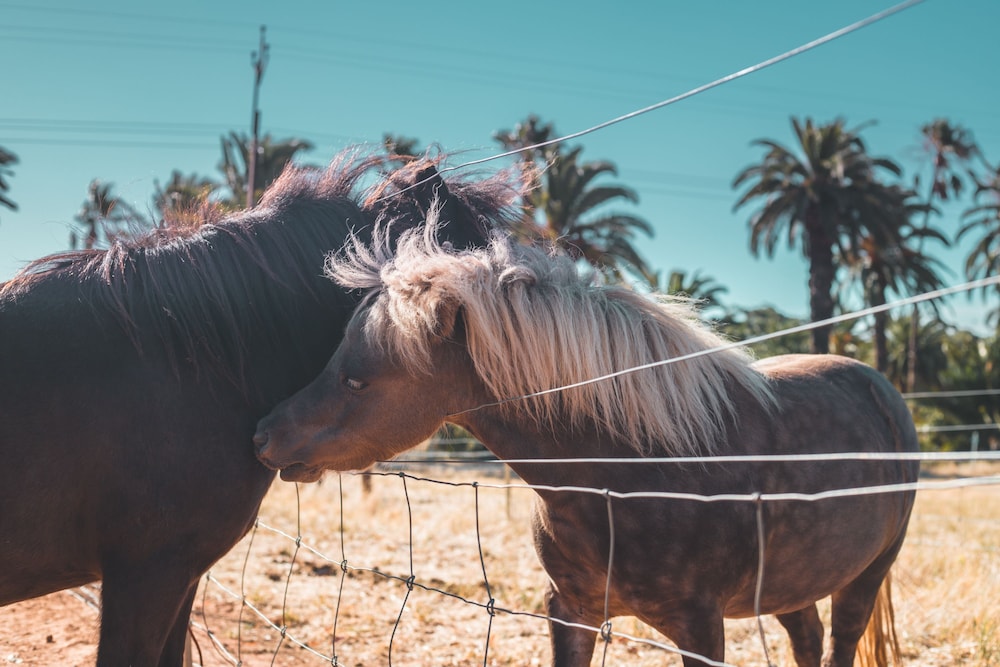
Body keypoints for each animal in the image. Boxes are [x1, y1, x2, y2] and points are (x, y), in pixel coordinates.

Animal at [254, 220, 916, 667]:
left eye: (356, 378)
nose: (263, 434)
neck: (632, 473)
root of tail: (878, 385)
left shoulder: (700, 629)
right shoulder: (567, 611)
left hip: (864, 579)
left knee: (838, 640)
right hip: (792, 585)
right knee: (806, 638)